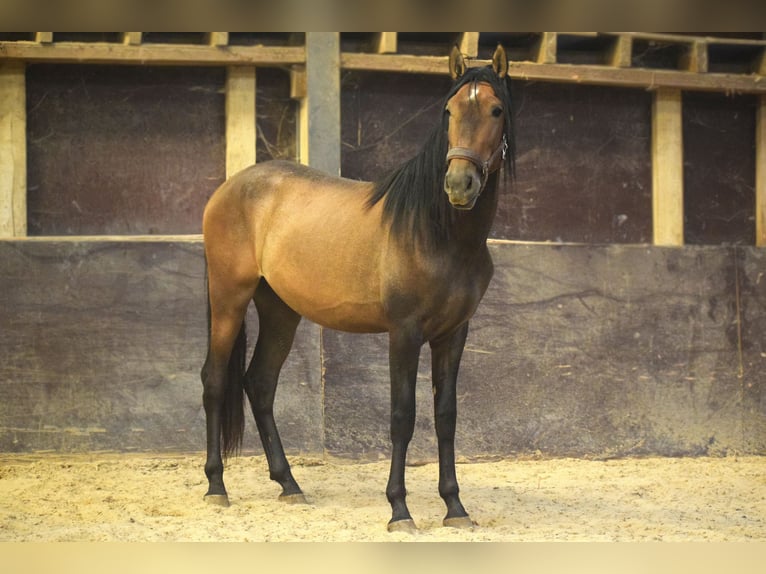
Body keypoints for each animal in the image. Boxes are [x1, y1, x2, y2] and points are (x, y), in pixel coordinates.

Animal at [201, 45, 520, 536]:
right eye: (448, 111)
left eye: (496, 110)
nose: (458, 185)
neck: (437, 233)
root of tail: (230, 187)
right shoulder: (404, 333)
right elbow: (402, 417)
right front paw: (399, 510)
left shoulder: (454, 334)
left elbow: (445, 416)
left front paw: (455, 507)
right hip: (228, 299)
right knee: (216, 381)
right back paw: (217, 487)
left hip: (280, 311)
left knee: (260, 383)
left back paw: (290, 485)